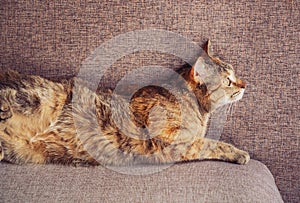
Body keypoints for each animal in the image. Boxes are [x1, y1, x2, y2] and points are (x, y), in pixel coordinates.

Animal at [0, 40, 248, 166]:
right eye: (228, 80)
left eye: (235, 75)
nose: (245, 84)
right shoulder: (173, 141)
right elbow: (211, 144)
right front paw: (240, 153)